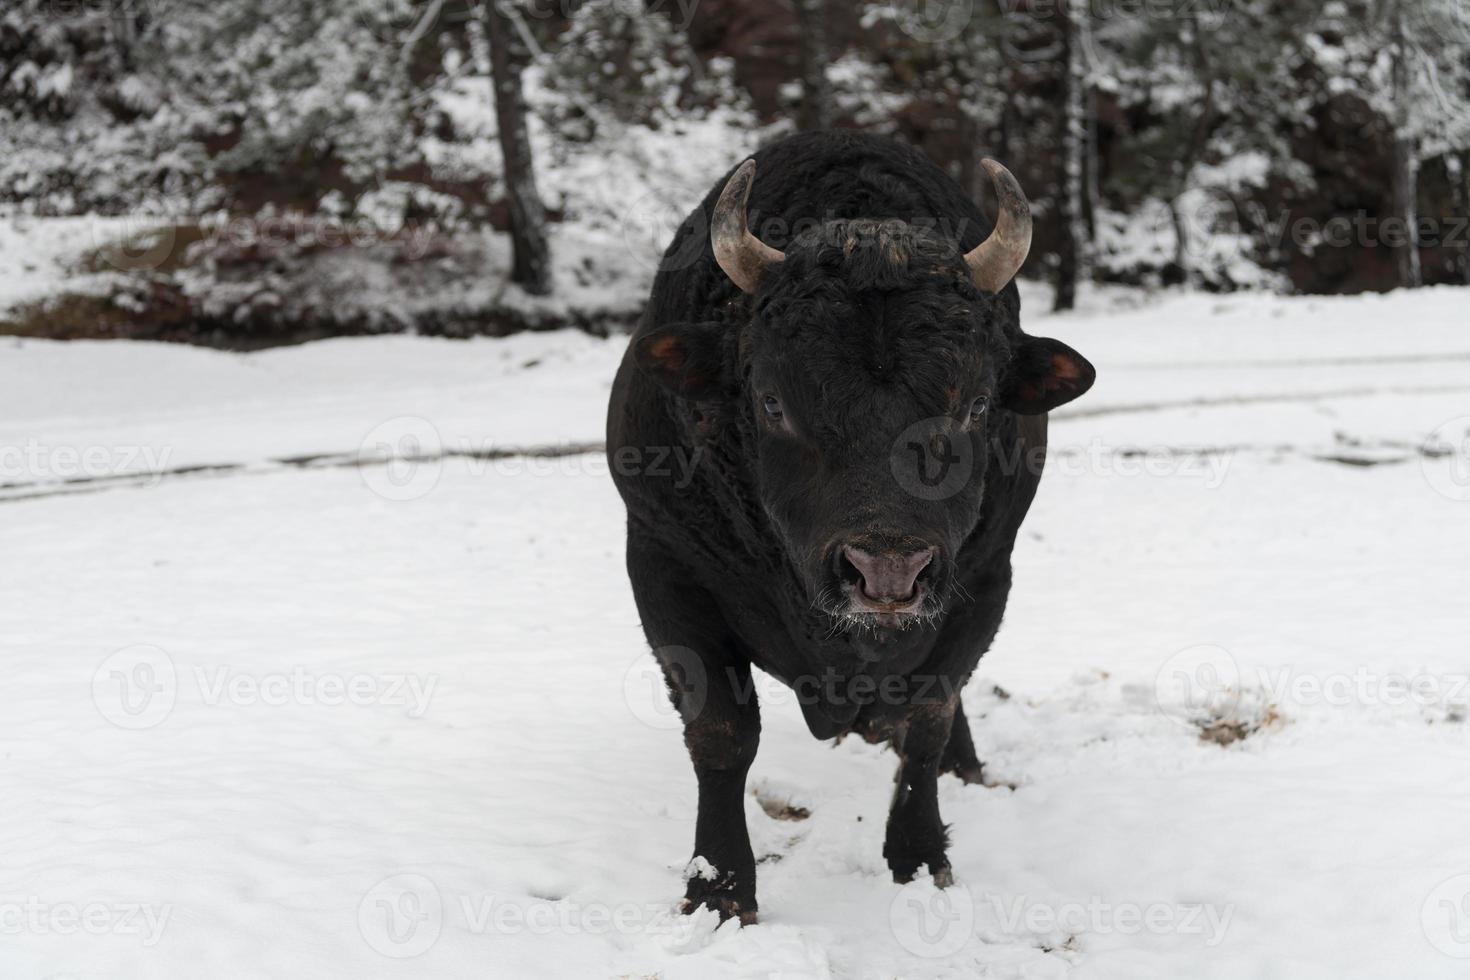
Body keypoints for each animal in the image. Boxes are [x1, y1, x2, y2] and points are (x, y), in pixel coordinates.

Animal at [602, 132, 1099, 928]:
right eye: (773, 402)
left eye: (976, 402)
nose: (887, 568)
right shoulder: (665, 567)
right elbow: (722, 735)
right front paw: (718, 889)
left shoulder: (984, 581)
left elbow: (929, 716)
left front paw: (920, 856)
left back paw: (968, 769)